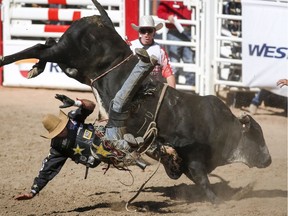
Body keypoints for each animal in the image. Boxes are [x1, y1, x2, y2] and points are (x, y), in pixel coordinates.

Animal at [0, 0, 272, 203]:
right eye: (257, 136)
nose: (268, 159)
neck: (220, 127)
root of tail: (103, 21)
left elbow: (180, 170)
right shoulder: (194, 157)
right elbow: (204, 181)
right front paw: (218, 201)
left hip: (72, 66)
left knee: (46, 45)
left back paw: (35, 68)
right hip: (67, 51)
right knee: (38, 47)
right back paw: (10, 61)